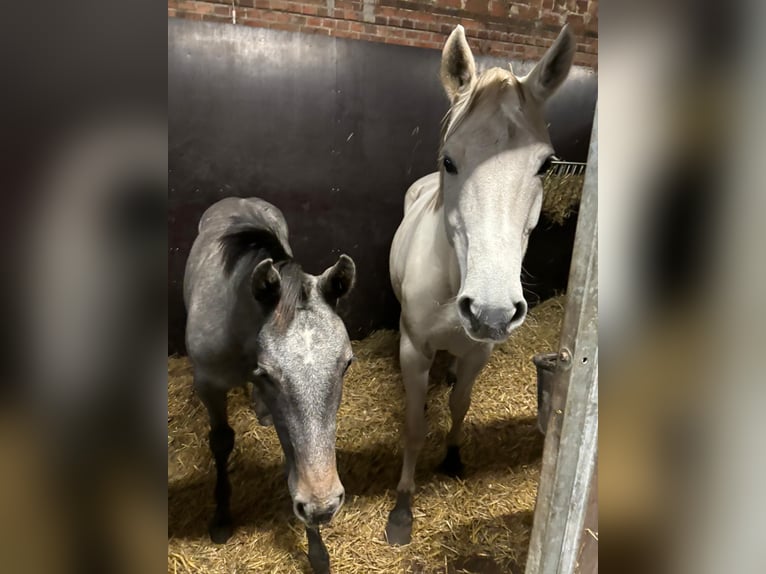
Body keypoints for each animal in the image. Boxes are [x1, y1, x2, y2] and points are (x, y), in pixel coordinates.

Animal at [186, 197, 356, 572]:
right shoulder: (210, 386)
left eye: (346, 364)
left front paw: (317, 551)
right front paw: (221, 518)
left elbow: (295, 456)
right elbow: (221, 441)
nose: (324, 506)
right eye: (267, 372)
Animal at [388, 23, 572, 544]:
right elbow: (414, 426)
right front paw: (402, 508)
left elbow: (460, 405)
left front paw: (452, 457)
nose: (490, 311)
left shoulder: (479, 353)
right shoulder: (414, 350)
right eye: (449, 160)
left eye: (545, 165)